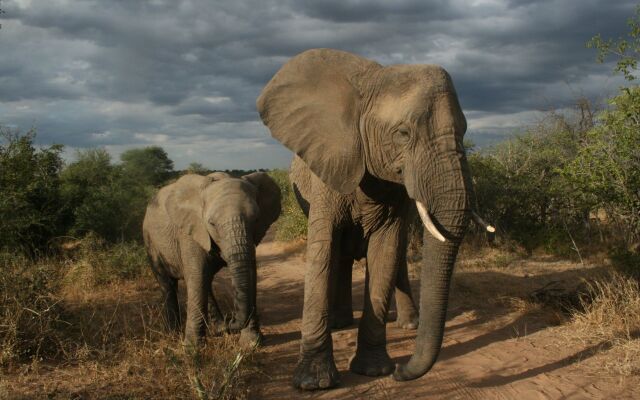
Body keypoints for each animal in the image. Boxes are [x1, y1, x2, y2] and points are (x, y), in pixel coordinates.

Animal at [144, 170, 282, 346]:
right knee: (168, 284)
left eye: (256, 219)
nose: (232, 323)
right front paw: (191, 348)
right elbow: (196, 276)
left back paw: (219, 329)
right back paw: (173, 333)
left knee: (205, 281)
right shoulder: (191, 231)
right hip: (150, 243)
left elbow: (251, 272)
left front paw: (251, 344)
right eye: (212, 224)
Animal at [258, 48, 476, 390]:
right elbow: (323, 250)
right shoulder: (328, 170)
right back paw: (340, 323)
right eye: (403, 134)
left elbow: (386, 252)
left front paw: (374, 370)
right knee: (338, 256)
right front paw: (313, 383)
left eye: (465, 131)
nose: (402, 371)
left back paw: (407, 325)